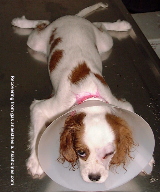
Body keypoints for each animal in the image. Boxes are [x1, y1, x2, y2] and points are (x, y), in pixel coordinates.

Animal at [11, 2, 154, 183]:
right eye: (81, 152)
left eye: (109, 153)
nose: (94, 178)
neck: (89, 95)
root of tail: (73, 17)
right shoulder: (40, 107)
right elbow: (37, 135)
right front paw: (36, 161)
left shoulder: (122, 105)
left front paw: (147, 159)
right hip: (36, 41)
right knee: (41, 23)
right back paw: (20, 22)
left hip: (104, 43)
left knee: (99, 25)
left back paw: (121, 25)